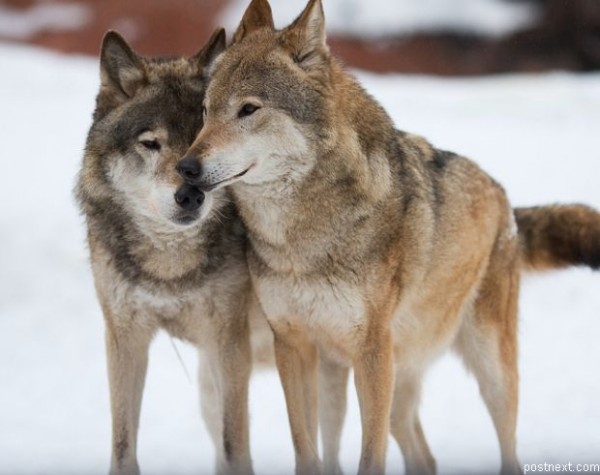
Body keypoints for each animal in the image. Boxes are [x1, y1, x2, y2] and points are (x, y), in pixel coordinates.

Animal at [74, 28, 264, 475]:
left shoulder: (230, 343)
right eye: (151, 143)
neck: (169, 264)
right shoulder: (125, 337)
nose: (191, 193)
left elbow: (236, 444)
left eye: (204, 139)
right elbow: (123, 443)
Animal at [176, 1, 600, 474]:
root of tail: (503, 197)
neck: (301, 237)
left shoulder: (370, 351)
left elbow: (369, 454)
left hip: (488, 370)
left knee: (508, 447)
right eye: (207, 110)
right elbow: (306, 446)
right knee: (424, 456)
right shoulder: (294, 345)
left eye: (248, 109)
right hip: (397, 383)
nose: (186, 168)